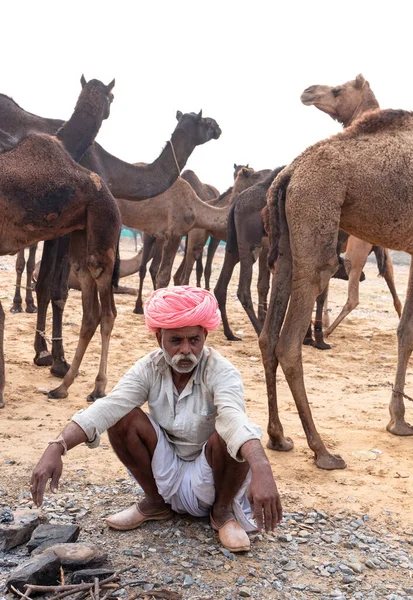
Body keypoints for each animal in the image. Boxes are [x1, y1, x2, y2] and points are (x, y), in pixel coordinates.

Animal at [0, 76, 120, 408]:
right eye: (112, 97)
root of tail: (108, 193)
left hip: (100, 241)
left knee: (107, 312)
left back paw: (96, 387)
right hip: (81, 245)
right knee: (92, 314)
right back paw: (63, 386)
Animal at [0, 92, 222, 380]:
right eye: (206, 122)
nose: (219, 128)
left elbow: (50, 285)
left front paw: (44, 352)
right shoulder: (68, 225)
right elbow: (53, 287)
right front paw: (56, 359)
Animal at [300, 73, 402, 336]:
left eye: (337, 90)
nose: (307, 91)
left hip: (357, 250)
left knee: (353, 298)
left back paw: (325, 333)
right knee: (395, 293)